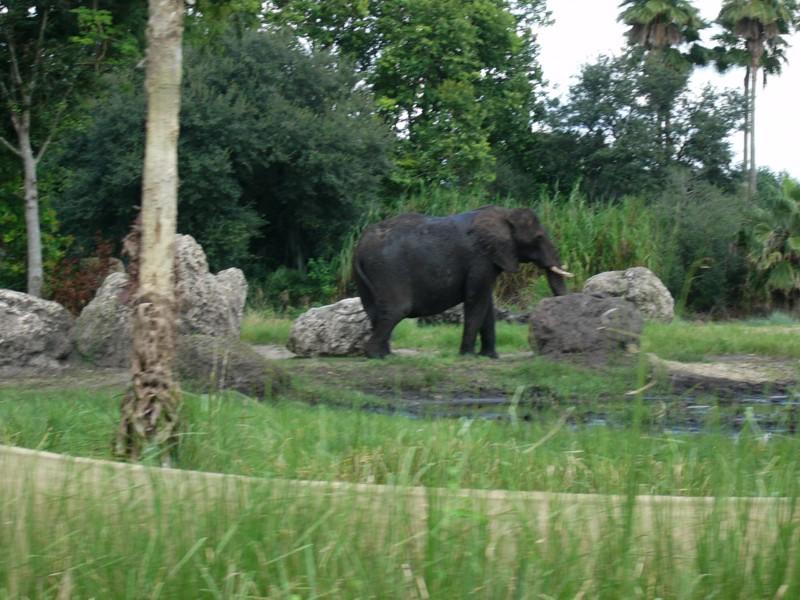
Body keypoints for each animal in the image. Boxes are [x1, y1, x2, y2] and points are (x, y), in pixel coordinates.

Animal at [354, 204, 572, 358]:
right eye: (539, 237)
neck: (505, 214)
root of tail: (360, 246)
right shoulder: (480, 258)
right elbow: (476, 301)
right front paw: (468, 356)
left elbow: (487, 305)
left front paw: (490, 357)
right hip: (388, 267)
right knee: (397, 309)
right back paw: (377, 356)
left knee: (375, 310)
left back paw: (386, 355)